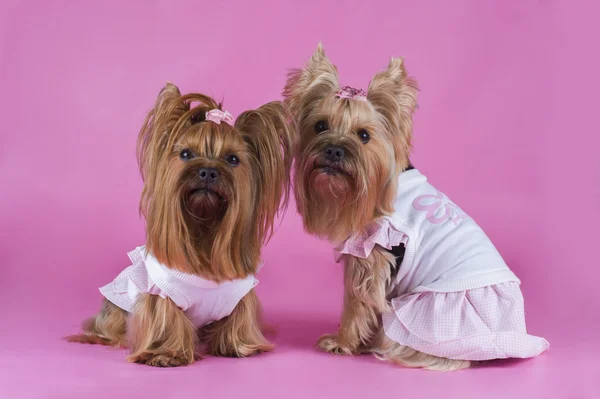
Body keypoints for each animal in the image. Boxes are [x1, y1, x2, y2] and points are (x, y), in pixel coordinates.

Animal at [68, 83, 296, 368]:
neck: (204, 228)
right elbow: (166, 316)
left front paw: (239, 345)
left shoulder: (241, 293)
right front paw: (166, 353)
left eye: (233, 159)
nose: (208, 171)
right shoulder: (162, 292)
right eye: (186, 154)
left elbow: (240, 313)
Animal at [284, 44, 552, 372]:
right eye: (320, 126)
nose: (334, 150)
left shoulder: (370, 256)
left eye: (364, 135)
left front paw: (342, 341)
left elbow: (356, 303)